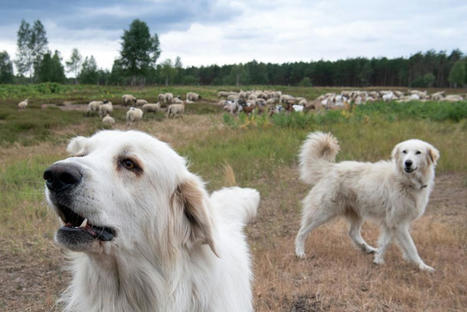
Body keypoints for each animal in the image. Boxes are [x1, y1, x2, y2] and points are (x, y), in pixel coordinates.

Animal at [294, 132, 440, 270]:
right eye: (404, 151)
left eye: (418, 152)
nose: (408, 163)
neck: (405, 180)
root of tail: (330, 168)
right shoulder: (398, 223)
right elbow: (411, 247)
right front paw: (423, 267)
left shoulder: (391, 222)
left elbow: (385, 242)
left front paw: (378, 260)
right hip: (323, 212)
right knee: (301, 232)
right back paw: (299, 253)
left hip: (356, 212)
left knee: (353, 233)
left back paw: (367, 249)